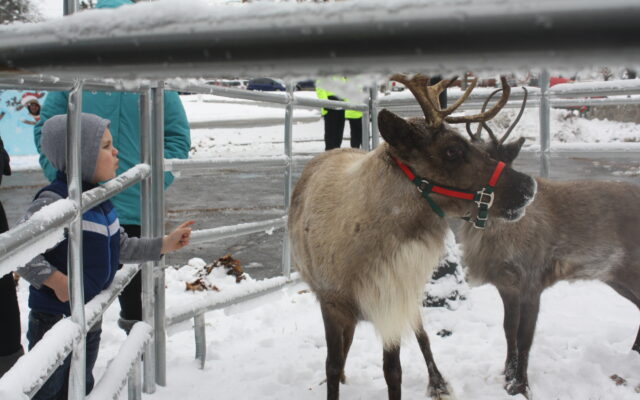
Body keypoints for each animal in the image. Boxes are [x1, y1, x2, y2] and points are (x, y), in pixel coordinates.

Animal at [288, 74, 537, 400]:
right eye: (452, 150)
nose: (529, 185)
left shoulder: (394, 300)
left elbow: (393, 372)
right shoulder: (330, 302)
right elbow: (331, 363)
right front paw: (334, 378)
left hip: (412, 293)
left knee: (422, 336)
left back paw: (438, 381)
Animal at [459, 87, 640, 398]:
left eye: (494, 160)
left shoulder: (533, 281)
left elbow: (525, 336)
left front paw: (521, 386)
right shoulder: (506, 285)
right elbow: (508, 330)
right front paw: (506, 375)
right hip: (616, 277)